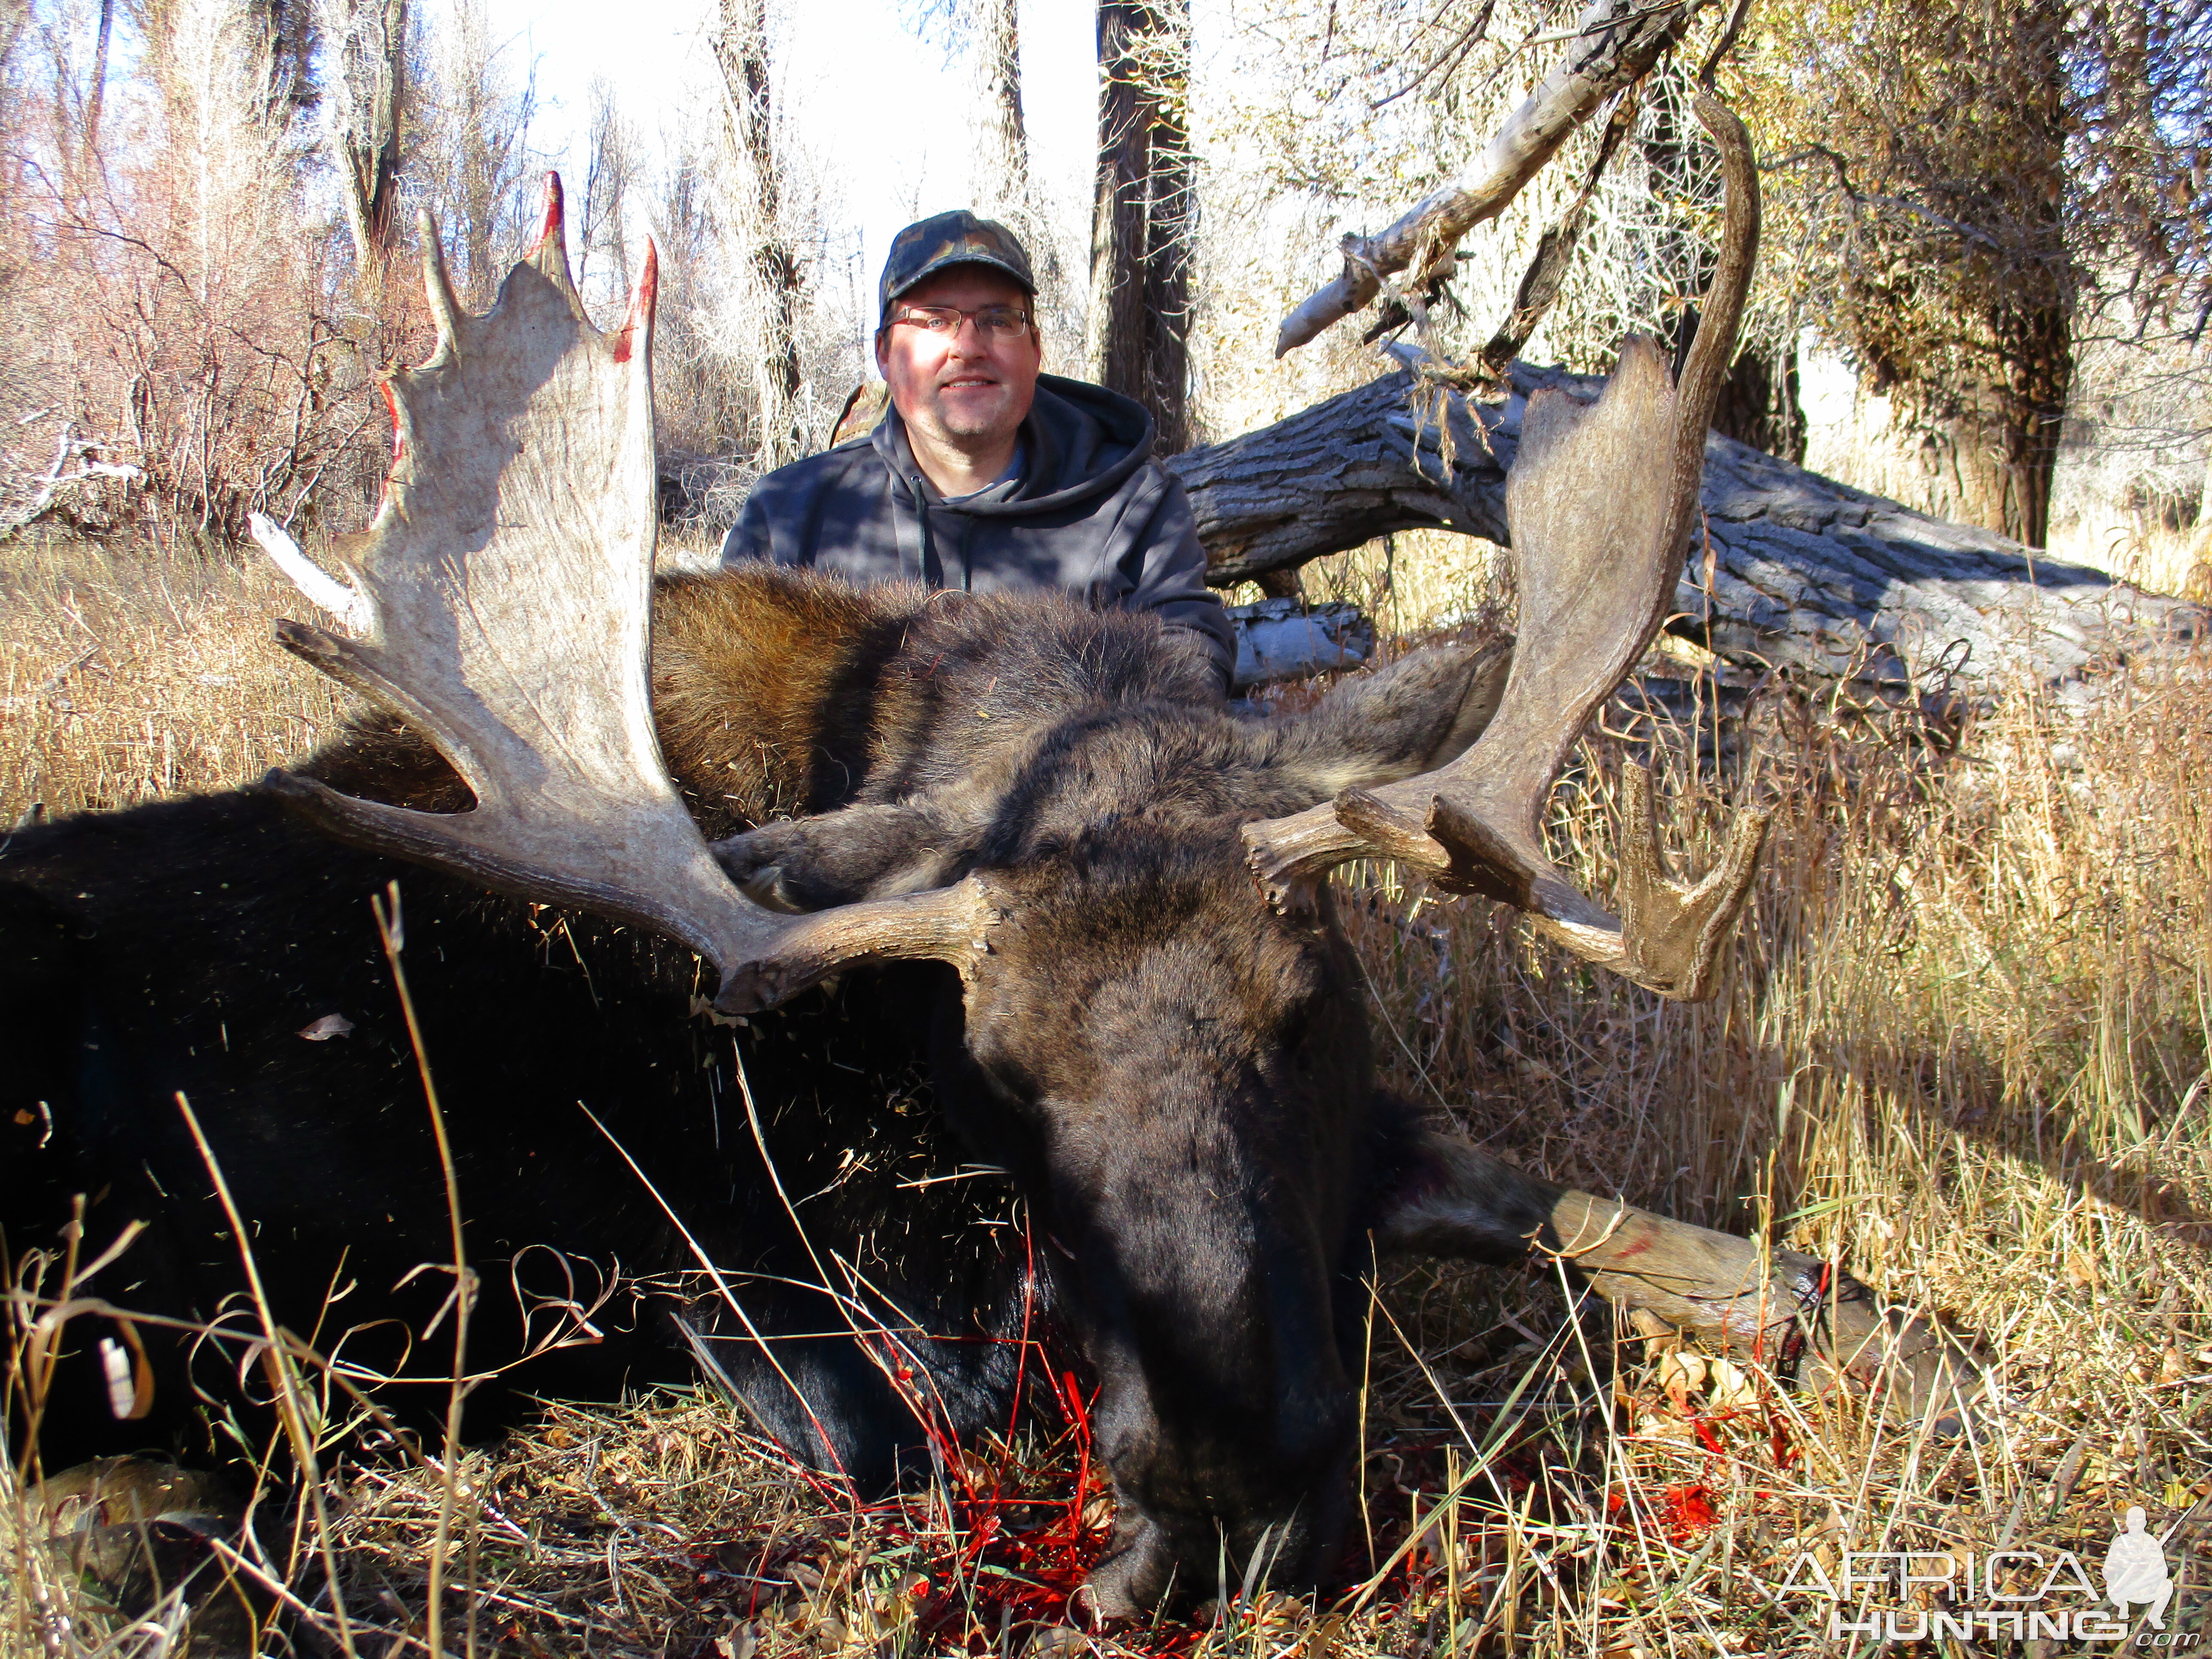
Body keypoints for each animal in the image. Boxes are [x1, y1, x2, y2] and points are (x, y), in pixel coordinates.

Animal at [0, 97, 1973, 1619]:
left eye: (1304, 1011)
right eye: (999, 1079)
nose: (1225, 1506)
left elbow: (1705, 1250)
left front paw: (1905, 1344)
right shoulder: (762, 1259)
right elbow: (925, 1401)